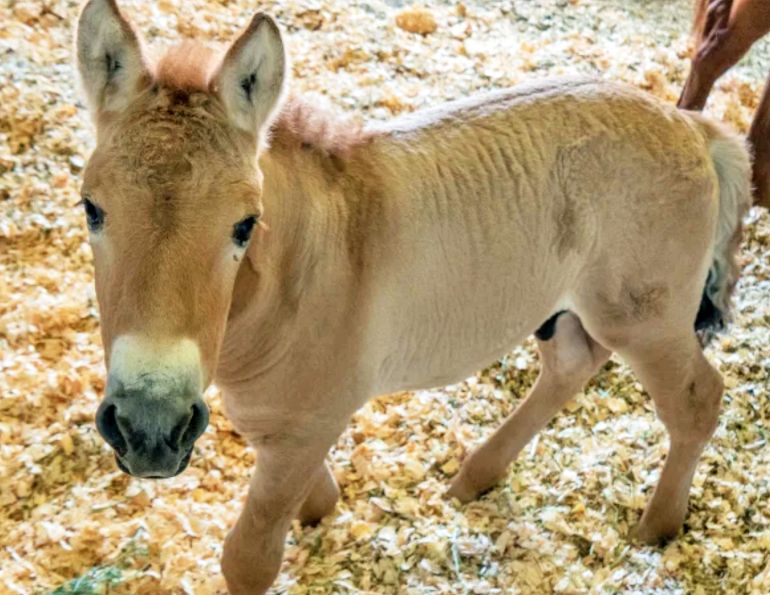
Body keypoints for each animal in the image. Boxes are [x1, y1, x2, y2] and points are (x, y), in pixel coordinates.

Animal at [75, 0, 751, 592]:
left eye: (245, 224)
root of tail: (691, 126)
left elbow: (250, 557)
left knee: (697, 400)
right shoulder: (276, 419)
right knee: (571, 364)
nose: (148, 429)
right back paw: (476, 477)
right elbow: (306, 489)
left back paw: (657, 527)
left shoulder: (307, 424)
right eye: (91, 208)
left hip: (644, 319)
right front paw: (323, 509)